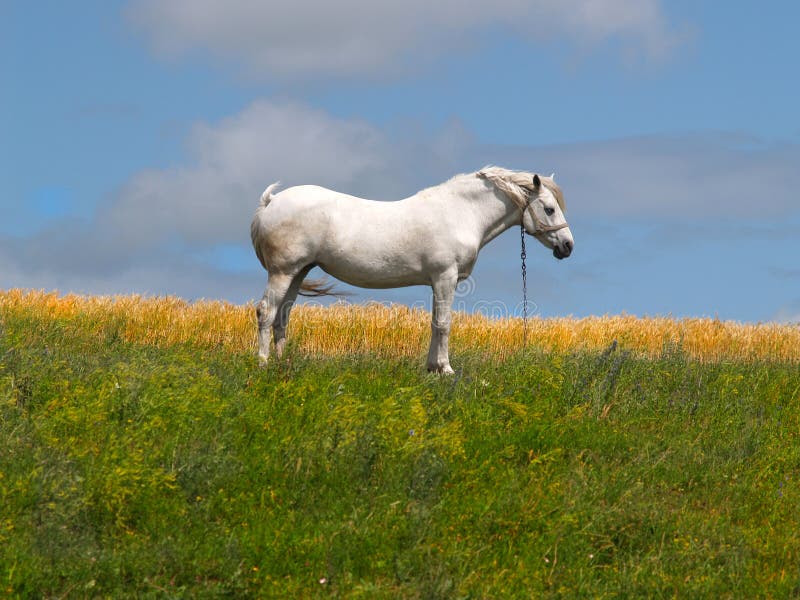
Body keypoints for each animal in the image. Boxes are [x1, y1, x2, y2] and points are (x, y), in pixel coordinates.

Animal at [250, 166, 574, 373]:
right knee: (266, 312)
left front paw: (431, 368)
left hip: (299, 271)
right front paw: (445, 369)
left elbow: (434, 322)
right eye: (549, 209)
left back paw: (283, 365)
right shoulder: (445, 277)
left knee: (283, 316)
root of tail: (271, 202)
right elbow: (443, 323)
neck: (460, 213)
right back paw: (262, 364)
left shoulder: (438, 281)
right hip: (282, 272)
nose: (567, 246)